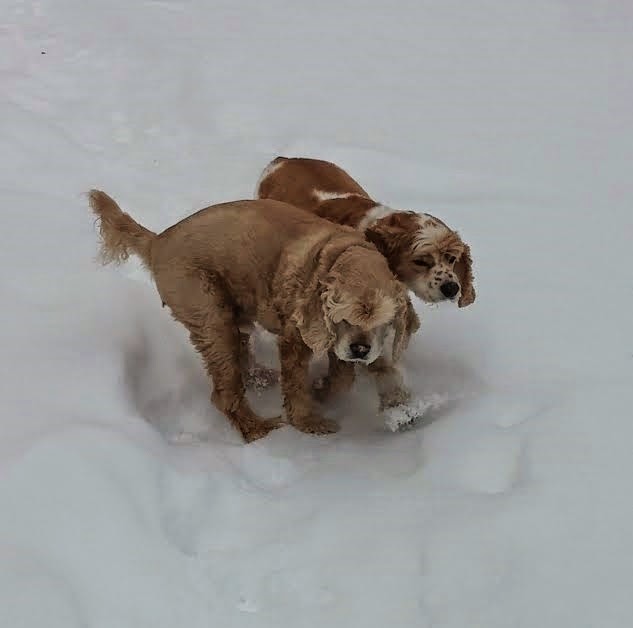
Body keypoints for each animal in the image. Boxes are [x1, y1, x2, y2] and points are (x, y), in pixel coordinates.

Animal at [89, 191, 418, 442]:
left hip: (233, 310)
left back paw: (260, 377)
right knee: (224, 392)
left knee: (241, 354)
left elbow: (349, 375)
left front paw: (332, 393)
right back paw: (256, 428)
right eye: (342, 318)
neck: (338, 255)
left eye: (385, 322)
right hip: (210, 315)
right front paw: (309, 421)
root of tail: (158, 241)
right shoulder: (296, 338)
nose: (360, 349)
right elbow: (298, 384)